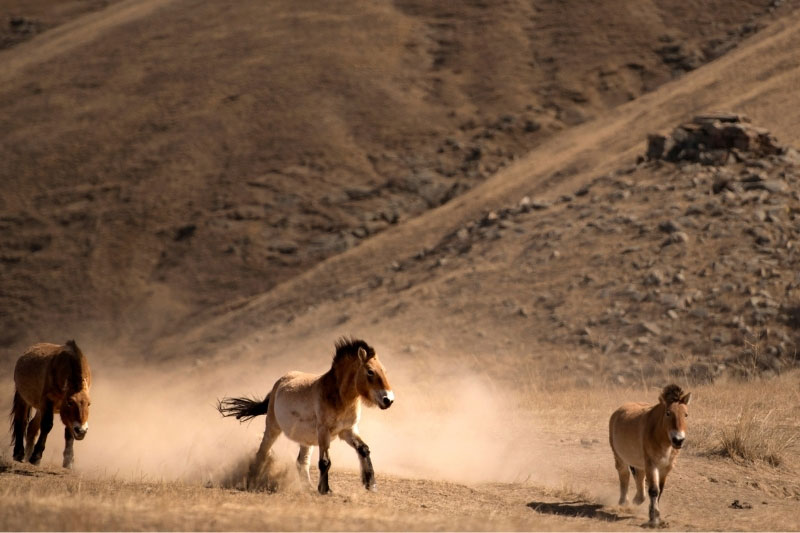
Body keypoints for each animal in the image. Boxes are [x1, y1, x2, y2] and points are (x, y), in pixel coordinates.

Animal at [10, 340, 92, 469]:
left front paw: (68, 461)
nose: (82, 431)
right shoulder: (48, 401)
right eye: (70, 402)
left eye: (89, 404)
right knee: (21, 422)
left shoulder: (59, 412)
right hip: (22, 398)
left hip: (40, 408)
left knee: (32, 427)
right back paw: (19, 454)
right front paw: (36, 457)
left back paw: (27, 456)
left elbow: (69, 432)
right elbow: (47, 425)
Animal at [217, 337, 394, 494]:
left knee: (301, 462)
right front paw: (325, 489)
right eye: (370, 372)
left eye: (384, 370)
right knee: (262, 453)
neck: (338, 396)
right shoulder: (324, 431)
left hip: (306, 440)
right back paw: (252, 482)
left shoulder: (348, 430)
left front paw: (371, 485)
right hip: (273, 428)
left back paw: (307, 487)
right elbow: (325, 461)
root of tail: (278, 383)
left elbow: (364, 449)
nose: (389, 399)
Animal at [609, 384, 691, 527]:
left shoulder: (665, 468)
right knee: (624, 475)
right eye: (668, 413)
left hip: (640, 463)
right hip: (620, 457)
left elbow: (660, 491)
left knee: (639, 477)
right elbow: (653, 490)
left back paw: (638, 499)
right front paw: (654, 519)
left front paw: (655, 516)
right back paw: (624, 502)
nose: (678, 440)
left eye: (685, 415)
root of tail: (618, 411)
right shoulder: (652, 465)